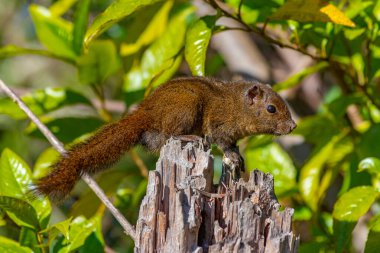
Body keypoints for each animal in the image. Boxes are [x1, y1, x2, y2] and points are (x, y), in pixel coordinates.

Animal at [34, 76, 296, 201]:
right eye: (271, 109)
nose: (293, 126)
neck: (237, 106)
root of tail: (145, 112)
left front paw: (238, 155)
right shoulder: (220, 125)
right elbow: (223, 143)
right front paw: (232, 155)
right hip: (186, 106)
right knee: (170, 133)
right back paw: (189, 136)